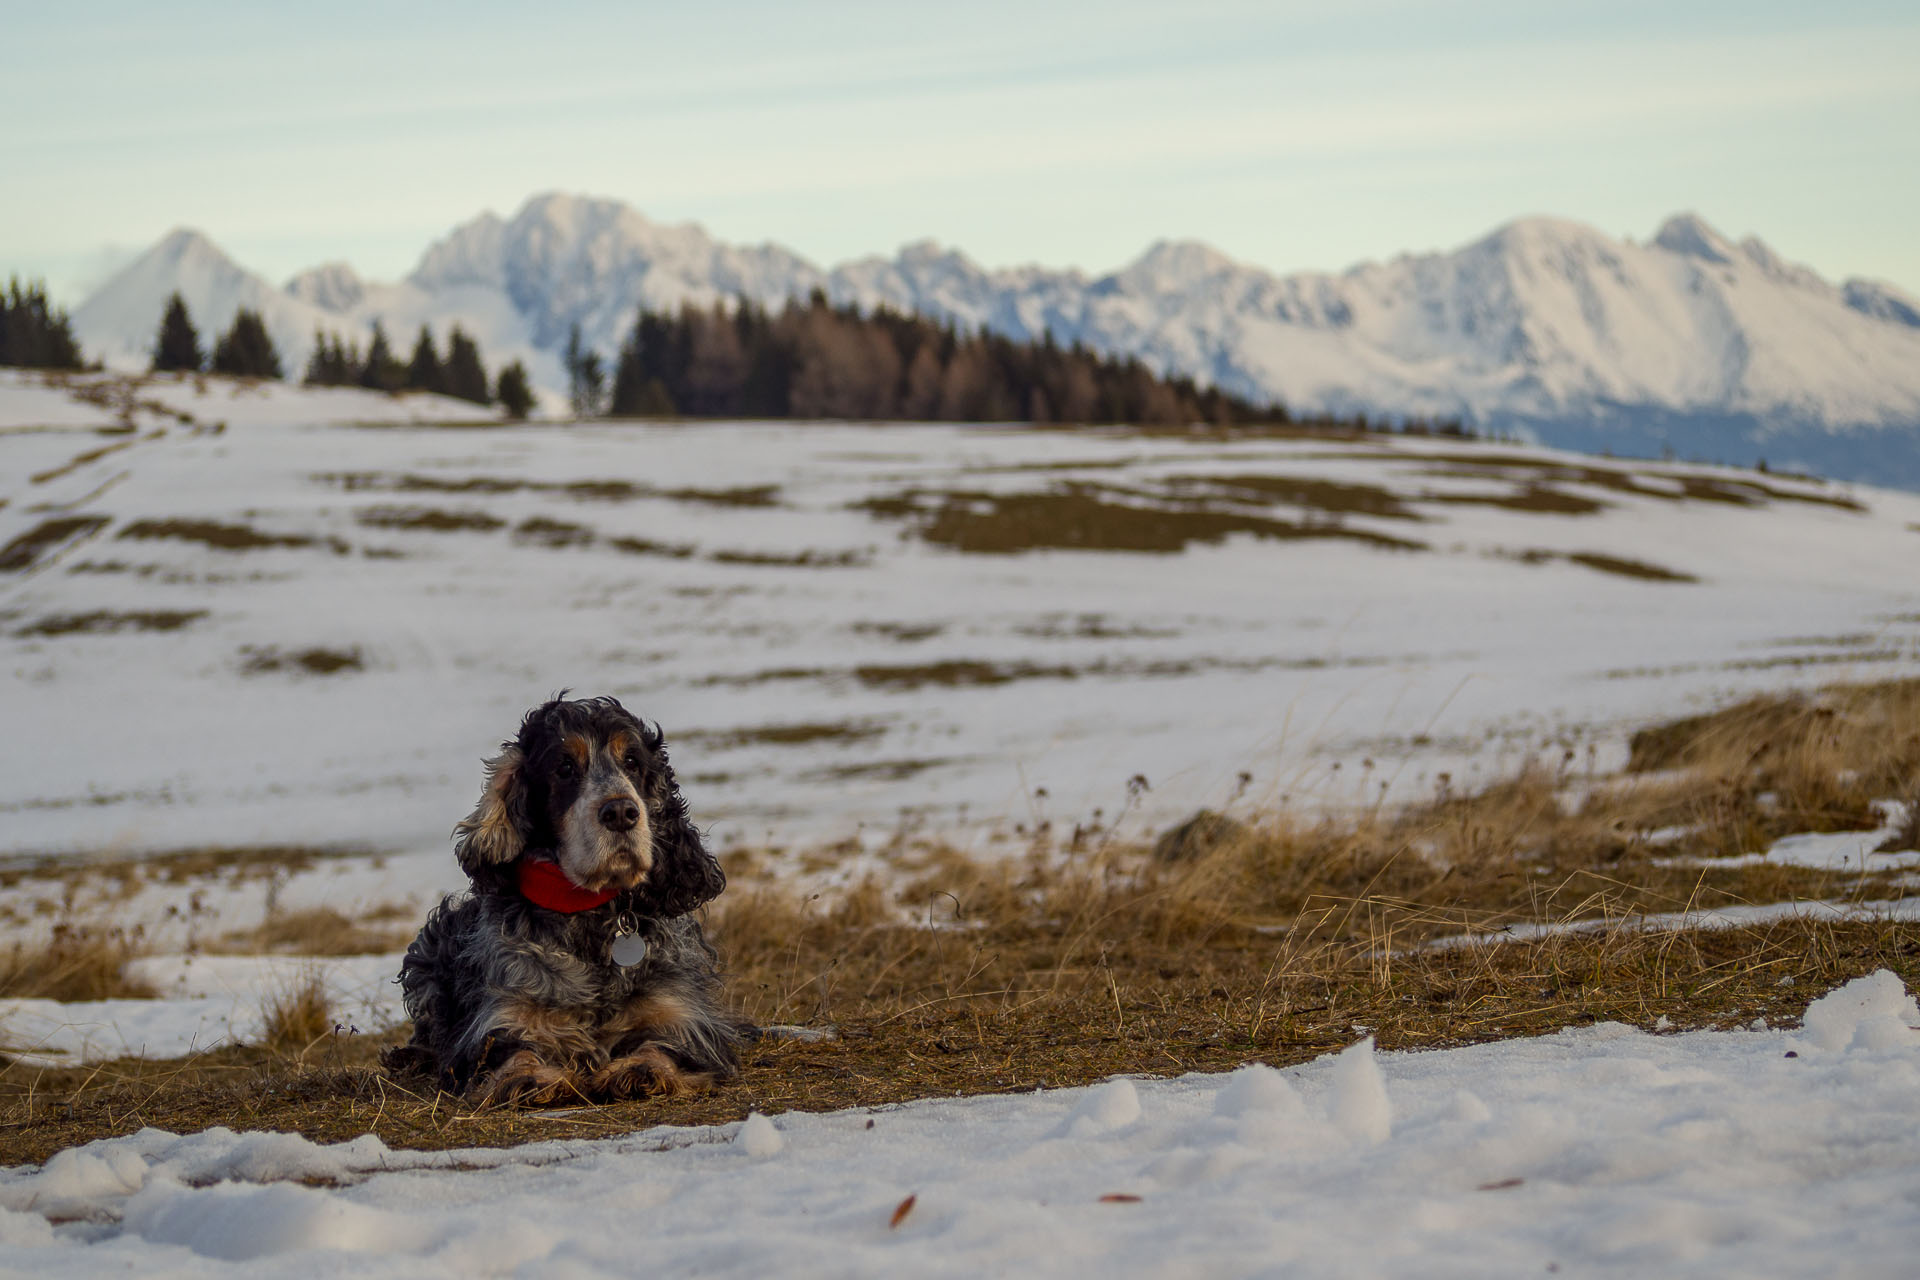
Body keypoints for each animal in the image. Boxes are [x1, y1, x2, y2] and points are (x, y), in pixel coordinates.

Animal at [384, 694, 756, 1105]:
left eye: (632, 762)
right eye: (564, 767)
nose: (621, 812)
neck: (590, 917)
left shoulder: (682, 1014)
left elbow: (663, 1045)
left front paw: (639, 1070)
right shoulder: (499, 1018)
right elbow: (510, 1050)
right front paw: (527, 1078)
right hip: (426, 951)